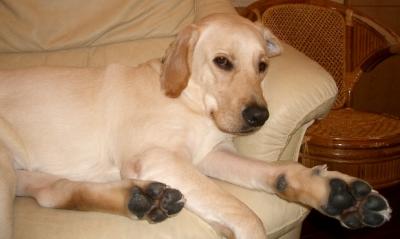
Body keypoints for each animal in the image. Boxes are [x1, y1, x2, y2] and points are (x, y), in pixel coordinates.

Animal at [0, 14, 392, 239]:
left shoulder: (211, 155)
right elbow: (242, 212)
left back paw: (141, 197)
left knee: (53, 193)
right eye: (222, 62)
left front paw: (330, 189)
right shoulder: (158, 158)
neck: (191, 101)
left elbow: (272, 171)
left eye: (262, 65)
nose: (259, 117)